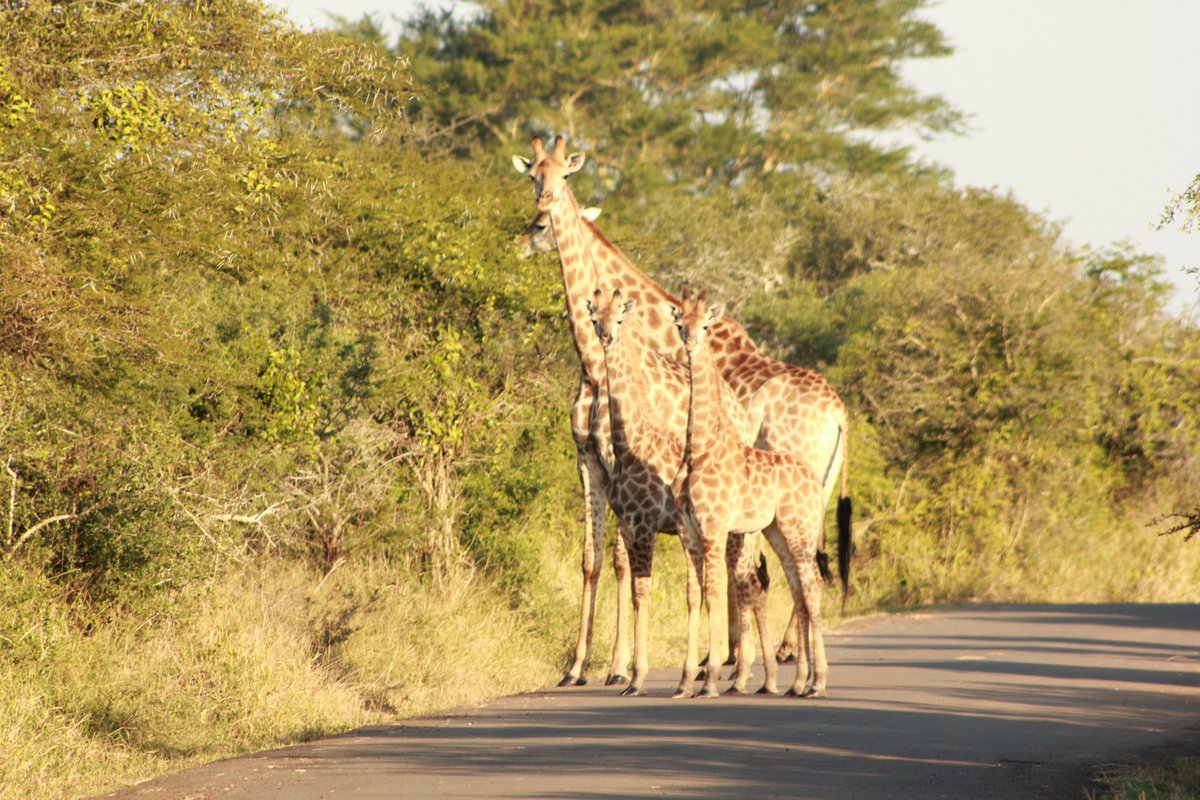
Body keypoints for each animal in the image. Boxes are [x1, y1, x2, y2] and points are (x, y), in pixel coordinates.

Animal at [585, 288, 773, 696]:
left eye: (619, 318)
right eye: (595, 319)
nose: (605, 337)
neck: (630, 441)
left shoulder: (644, 526)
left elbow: (644, 594)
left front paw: (636, 678)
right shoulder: (630, 526)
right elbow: (641, 591)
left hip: (737, 537)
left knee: (746, 585)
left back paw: (743, 675)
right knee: (747, 586)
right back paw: (745, 675)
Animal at [671, 288, 829, 699]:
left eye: (705, 325)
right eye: (680, 324)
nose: (690, 343)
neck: (698, 448)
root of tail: (814, 481)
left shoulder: (714, 528)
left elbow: (714, 593)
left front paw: (710, 679)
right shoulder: (688, 530)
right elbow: (694, 595)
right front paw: (685, 682)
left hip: (799, 528)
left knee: (812, 585)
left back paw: (818, 682)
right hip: (776, 532)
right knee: (799, 589)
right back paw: (799, 684)